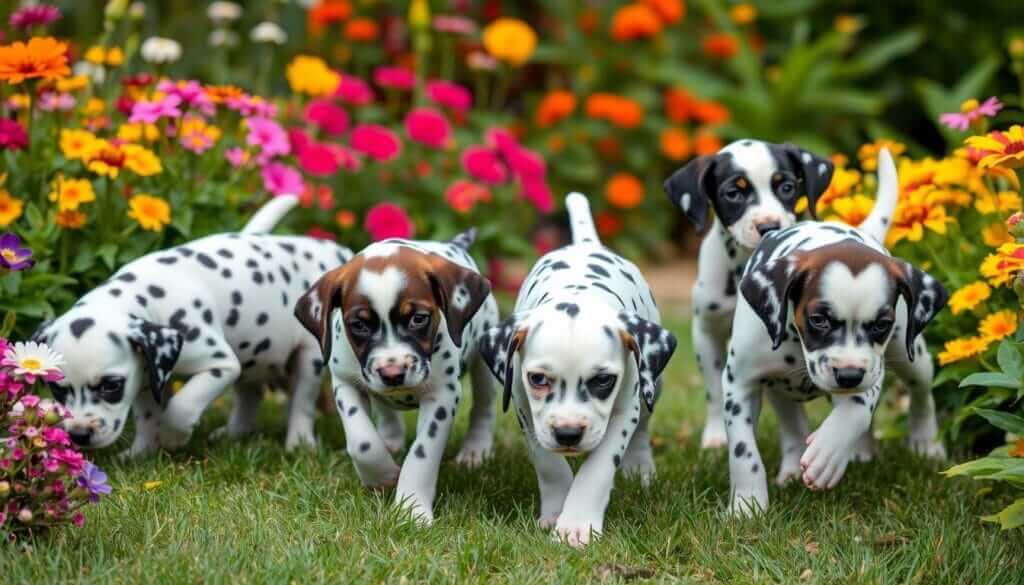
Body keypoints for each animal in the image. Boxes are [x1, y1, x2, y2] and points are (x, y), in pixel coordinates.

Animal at [32, 196, 352, 456]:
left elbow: (181, 406)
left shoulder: (221, 365)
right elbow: (148, 416)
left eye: (112, 386)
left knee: (302, 403)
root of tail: (339, 253)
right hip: (253, 356)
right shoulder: (147, 375)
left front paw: (172, 436)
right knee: (251, 395)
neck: (149, 299)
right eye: (57, 389)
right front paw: (141, 453)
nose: (79, 434)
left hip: (307, 358)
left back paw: (299, 444)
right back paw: (233, 434)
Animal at [292, 228, 499, 524]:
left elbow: (422, 453)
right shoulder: (346, 385)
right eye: (359, 324)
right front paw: (382, 475)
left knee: (483, 407)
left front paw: (412, 510)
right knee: (386, 411)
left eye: (418, 318)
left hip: (483, 363)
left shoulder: (442, 397)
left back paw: (475, 451)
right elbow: (362, 441)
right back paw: (390, 441)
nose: (393, 373)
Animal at [481, 193, 679, 549]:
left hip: (653, 384)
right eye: (538, 379)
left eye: (602, 380)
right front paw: (557, 510)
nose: (569, 433)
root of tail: (587, 244)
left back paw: (640, 467)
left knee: (644, 425)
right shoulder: (524, 407)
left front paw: (576, 524)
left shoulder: (623, 412)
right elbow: (549, 464)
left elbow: (597, 470)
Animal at [663, 138, 839, 448]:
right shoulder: (706, 332)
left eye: (786, 187)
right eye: (734, 193)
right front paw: (716, 436)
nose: (768, 226)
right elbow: (714, 389)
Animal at [724, 214, 946, 516]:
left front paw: (828, 453)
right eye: (819, 320)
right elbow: (743, 452)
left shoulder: (872, 370)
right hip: (778, 390)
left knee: (921, 393)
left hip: (910, 353)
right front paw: (746, 506)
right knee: (792, 424)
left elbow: (855, 412)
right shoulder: (739, 384)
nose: (849, 375)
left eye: (881, 324)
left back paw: (924, 442)